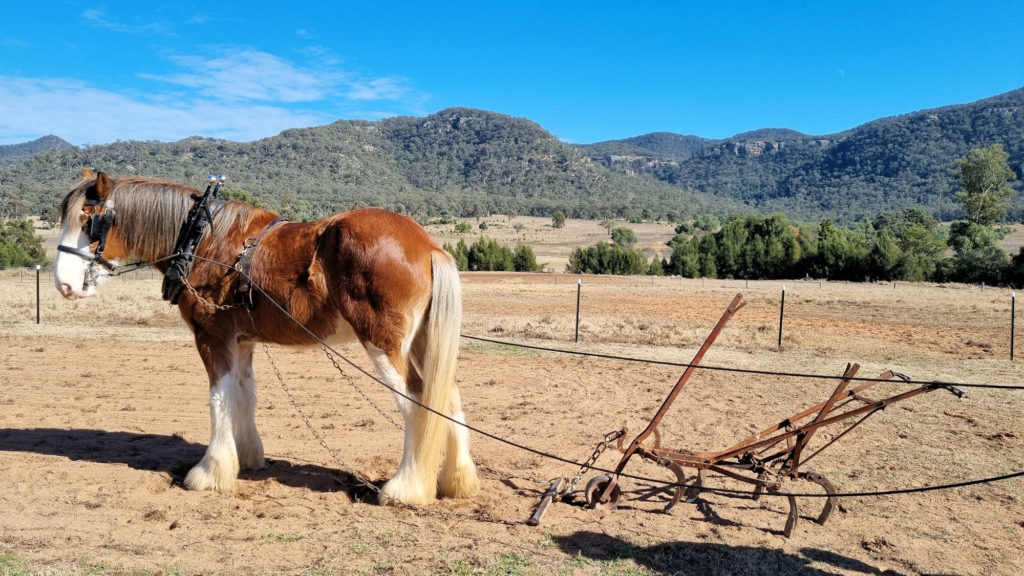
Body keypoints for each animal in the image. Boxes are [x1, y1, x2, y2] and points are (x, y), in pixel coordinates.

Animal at [51, 168, 475, 504]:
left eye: (89, 221)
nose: (64, 285)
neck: (203, 241)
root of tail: (428, 245)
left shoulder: (212, 337)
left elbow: (219, 397)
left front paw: (210, 472)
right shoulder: (242, 341)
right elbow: (244, 394)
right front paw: (247, 456)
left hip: (383, 342)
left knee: (416, 401)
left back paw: (405, 488)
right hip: (420, 341)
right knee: (447, 397)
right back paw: (456, 481)